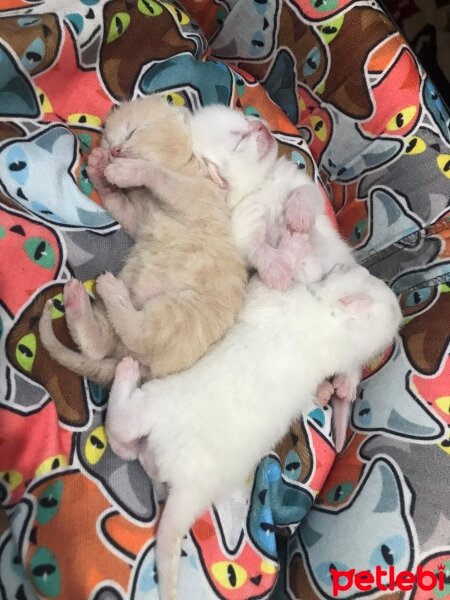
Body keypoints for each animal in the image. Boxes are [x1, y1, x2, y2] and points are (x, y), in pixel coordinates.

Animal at [39, 94, 246, 384]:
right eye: (111, 142)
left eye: (133, 131)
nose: (114, 151)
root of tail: (146, 368)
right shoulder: (137, 219)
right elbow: (119, 202)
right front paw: (99, 169)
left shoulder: (196, 196)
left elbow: (159, 174)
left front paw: (126, 171)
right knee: (99, 345)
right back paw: (77, 302)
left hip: (180, 311)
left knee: (140, 334)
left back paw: (106, 288)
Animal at [106, 266, 404, 600]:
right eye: (376, 283)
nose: (400, 308)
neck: (330, 317)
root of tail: (189, 491)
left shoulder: (275, 305)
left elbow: (258, 289)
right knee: (127, 446)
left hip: (157, 403)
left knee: (123, 425)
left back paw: (126, 366)